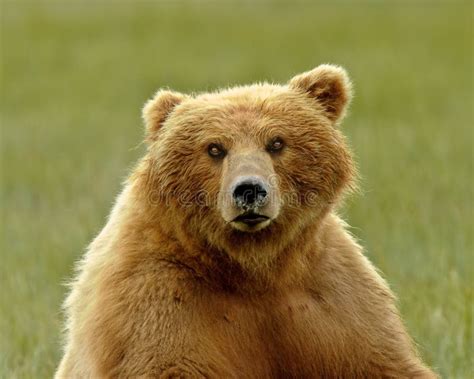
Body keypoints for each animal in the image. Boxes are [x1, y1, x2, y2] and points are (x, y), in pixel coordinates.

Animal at [55, 66, 436, 379]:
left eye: (277, 142)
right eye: (214, 148)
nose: (249, 190)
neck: (252, 266)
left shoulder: (332, 297)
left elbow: (383, 362)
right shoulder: (156, 296)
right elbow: (167, 363)